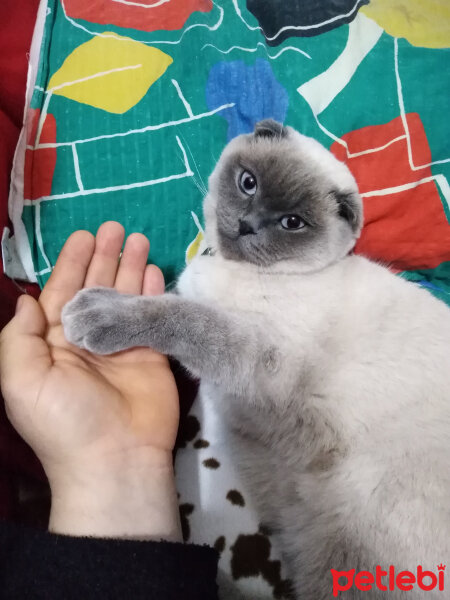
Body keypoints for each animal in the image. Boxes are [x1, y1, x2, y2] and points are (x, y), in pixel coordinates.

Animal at [61, 119, 448, 596]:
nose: (247, 225)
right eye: (249, 183)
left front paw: (95, 311)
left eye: (291, 223)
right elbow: (179, 307)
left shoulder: (261, 357)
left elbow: (180, 317)